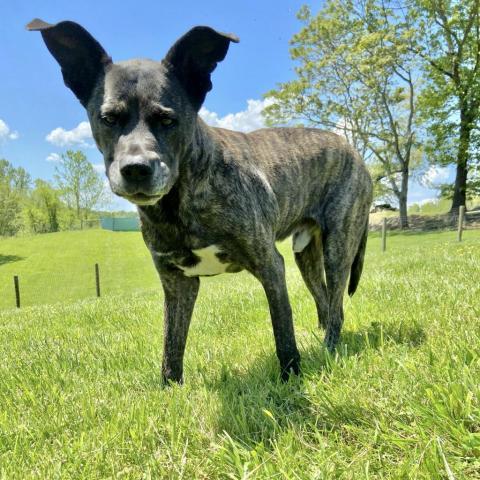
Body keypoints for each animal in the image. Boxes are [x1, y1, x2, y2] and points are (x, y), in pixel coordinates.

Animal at [30, 19, 374, 382]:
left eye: (168, 120)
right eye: (108, 119)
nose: (136, 168)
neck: (178, 202)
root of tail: (353, 150)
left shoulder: (270, 265)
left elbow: (283, 331)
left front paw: (291, 377)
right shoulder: (176, 282)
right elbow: (171, 347)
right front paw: (170, 390)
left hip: (338, 248)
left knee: (336, 306)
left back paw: (329, 349)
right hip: (306, 253)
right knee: (325, 299)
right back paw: (321, 344)